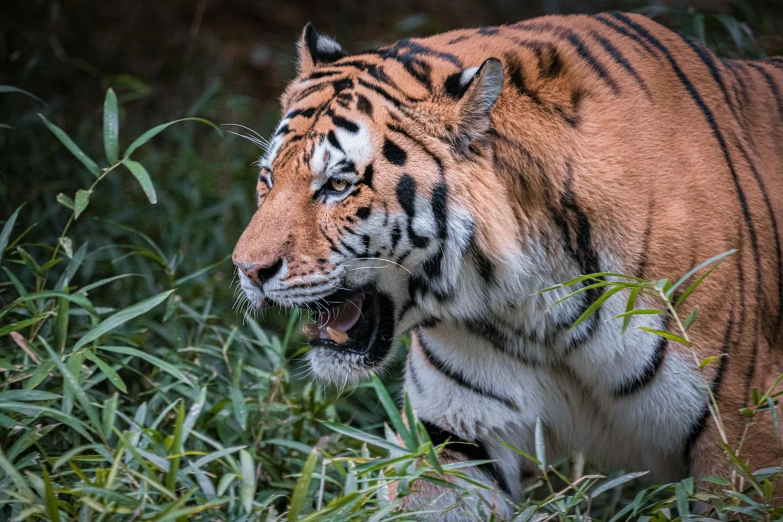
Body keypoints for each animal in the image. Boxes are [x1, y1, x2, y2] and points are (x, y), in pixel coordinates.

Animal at [233, 11, 783, 516]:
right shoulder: (457, 439)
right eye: (268, 178)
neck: (536, 302)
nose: (247, 269)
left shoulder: (740, 439)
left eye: (338, 185)